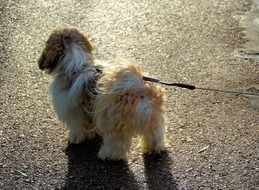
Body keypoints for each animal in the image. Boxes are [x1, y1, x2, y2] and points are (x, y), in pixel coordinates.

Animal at [38, 27, 168, 160]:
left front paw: (75, 138)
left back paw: (107, 155)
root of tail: (138, 88)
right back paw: (154, 149)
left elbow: (78, 128)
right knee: (155, 135)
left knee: (117, 144)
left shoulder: (73, 112)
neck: (77, 66)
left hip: (113, 123)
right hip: (154, 119)